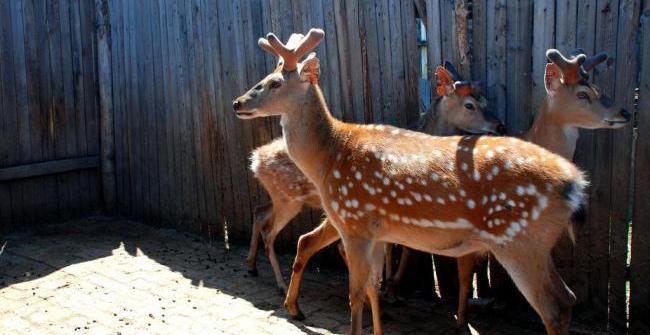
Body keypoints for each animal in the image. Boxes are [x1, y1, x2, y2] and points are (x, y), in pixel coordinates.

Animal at [234, 28, 588, 335]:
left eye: (274, 83)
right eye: (262, 79)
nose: (238, 102)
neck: (329, 157)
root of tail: (576, 186)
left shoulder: (354, 223)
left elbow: (356, 294)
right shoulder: (376, 231)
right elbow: (373, 286)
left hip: (519, 241)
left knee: (554, 307)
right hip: (536, 244)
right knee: (569, 298)